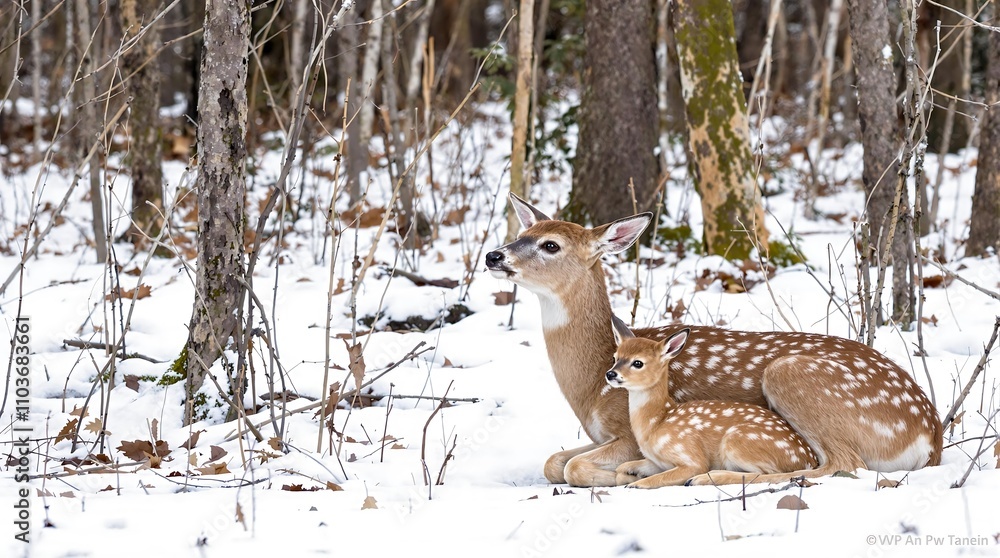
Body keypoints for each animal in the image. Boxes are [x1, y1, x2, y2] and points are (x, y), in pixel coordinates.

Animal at [606, 316, 818, 487]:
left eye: (638, 363)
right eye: (615, 357)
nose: (610, 374)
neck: (656, 423)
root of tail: (808, 458)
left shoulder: (689, 453)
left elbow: (668, 475)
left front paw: (636, 484)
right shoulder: (656, 461)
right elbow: (623, 466)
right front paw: (629, 474)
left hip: (738, 440)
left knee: (766, 474)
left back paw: (706, 478)